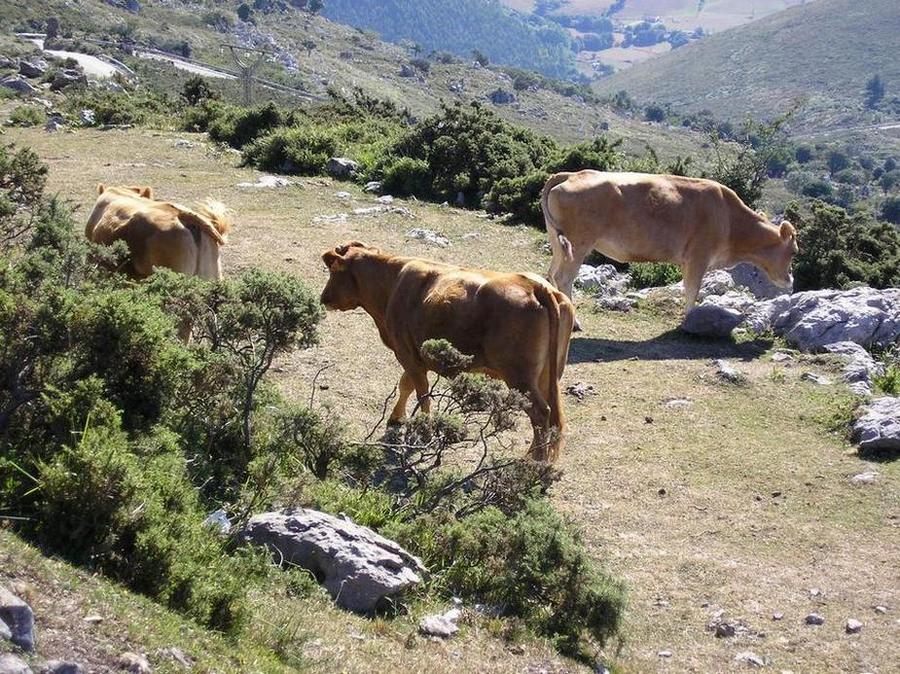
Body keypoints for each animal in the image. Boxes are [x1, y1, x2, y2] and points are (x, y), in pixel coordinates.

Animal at [322, 242, 576, 462]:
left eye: (333, 271)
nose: (323, 298)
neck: (391, 283)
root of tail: (536, 286)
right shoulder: (414, 355)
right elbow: (406, 385)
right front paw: (396, 418)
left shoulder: (406, 352)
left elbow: (421, 392)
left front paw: (423, 429)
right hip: (548, 375)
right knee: (550, 417)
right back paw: (529, 458)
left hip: (519, 376)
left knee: (540, 413)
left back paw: (536, 464)